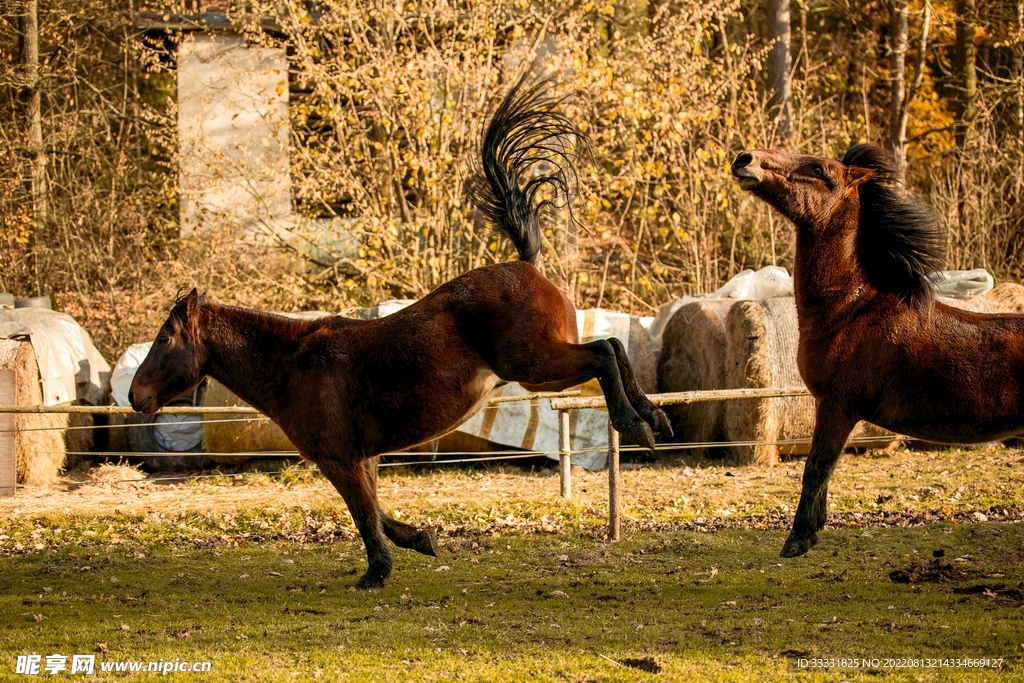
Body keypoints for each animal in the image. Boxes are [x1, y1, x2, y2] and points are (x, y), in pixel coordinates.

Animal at [129, 76, 672, 589]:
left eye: (165, 340)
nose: (135, 396)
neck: (293, 365)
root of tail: (525, 263)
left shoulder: (339, 460)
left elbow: (364, 516)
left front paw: (377, 572)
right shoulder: (362, 459)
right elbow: (377, 512)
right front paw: (419, 541)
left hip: (533, 365)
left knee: (602, 351)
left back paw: (634, 423)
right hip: (541, 371)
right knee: (613, 346)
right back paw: (654, 417)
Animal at [731, 143, 1024, 558]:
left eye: (818, 169)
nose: (745, 159)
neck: (850, 309)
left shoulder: (838, 406)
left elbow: (816, 468)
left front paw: (798, 539)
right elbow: (825, 471)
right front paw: (814, 530)